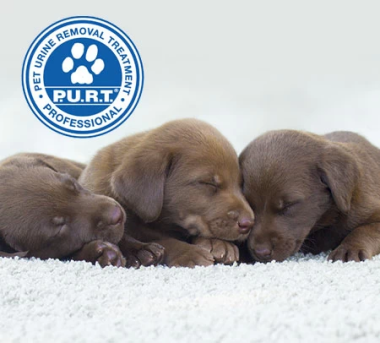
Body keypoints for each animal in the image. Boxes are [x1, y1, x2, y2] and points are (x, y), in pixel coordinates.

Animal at [79, 119, 255, 268]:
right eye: (208, 183)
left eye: (240, 184)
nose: (249, 223)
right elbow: (160, 238)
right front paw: (188, 252)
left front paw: (218, 244)